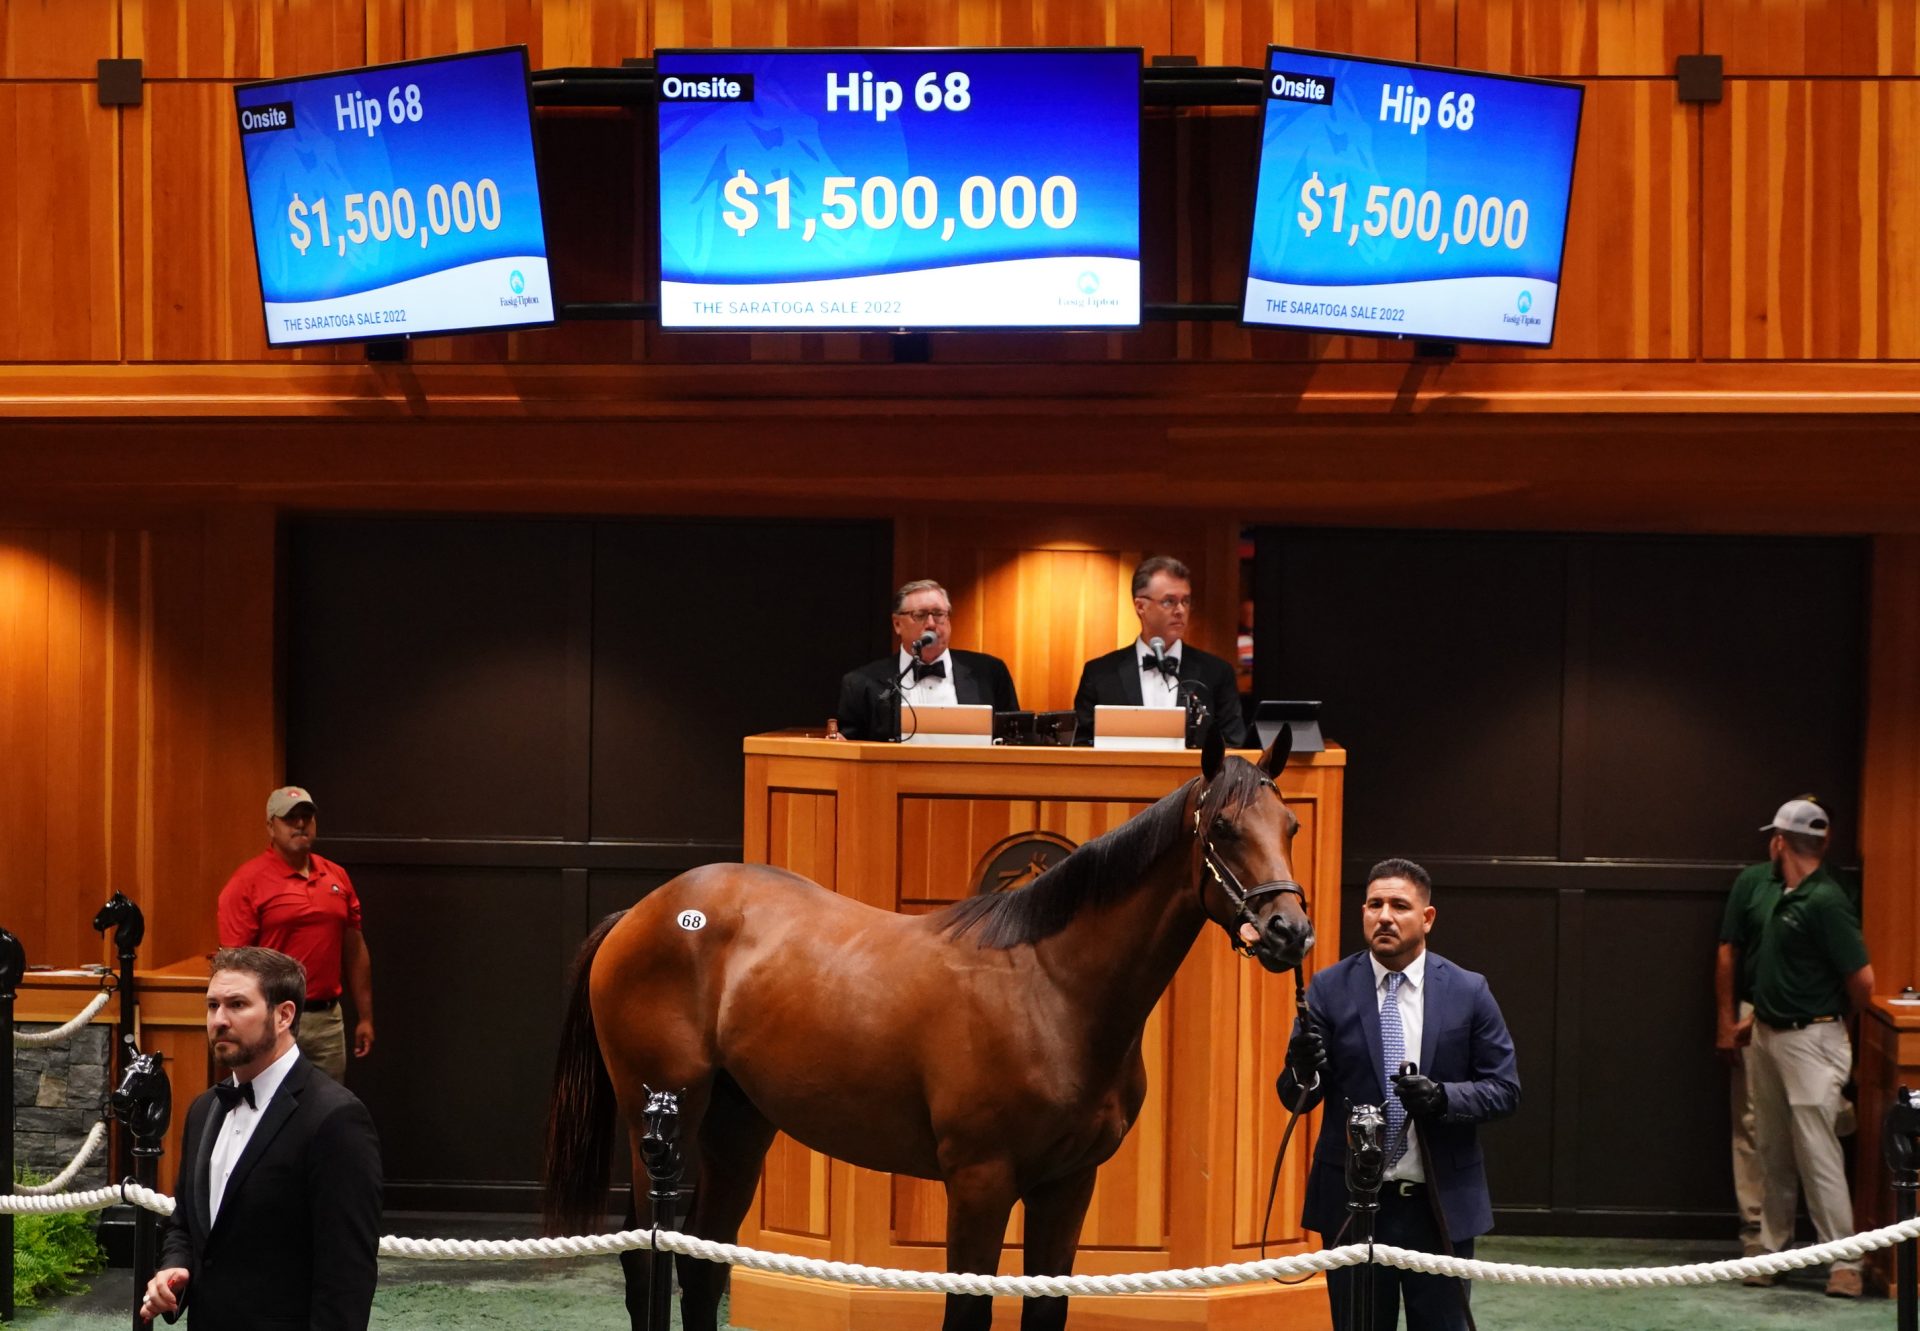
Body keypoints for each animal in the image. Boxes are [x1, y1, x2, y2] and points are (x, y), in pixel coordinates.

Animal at [549, 726, 1313, 1329]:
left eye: (1291, 827)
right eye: (1223, 829)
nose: (1290, 932)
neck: (1052, 989)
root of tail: (645, 911)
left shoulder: (1068, 1184)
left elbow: (1047, 1309)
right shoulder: (979, 1183)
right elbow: (965, 1313)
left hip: (737, 1128)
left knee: (703, 1262)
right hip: (663, 1126)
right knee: (649, 1257)